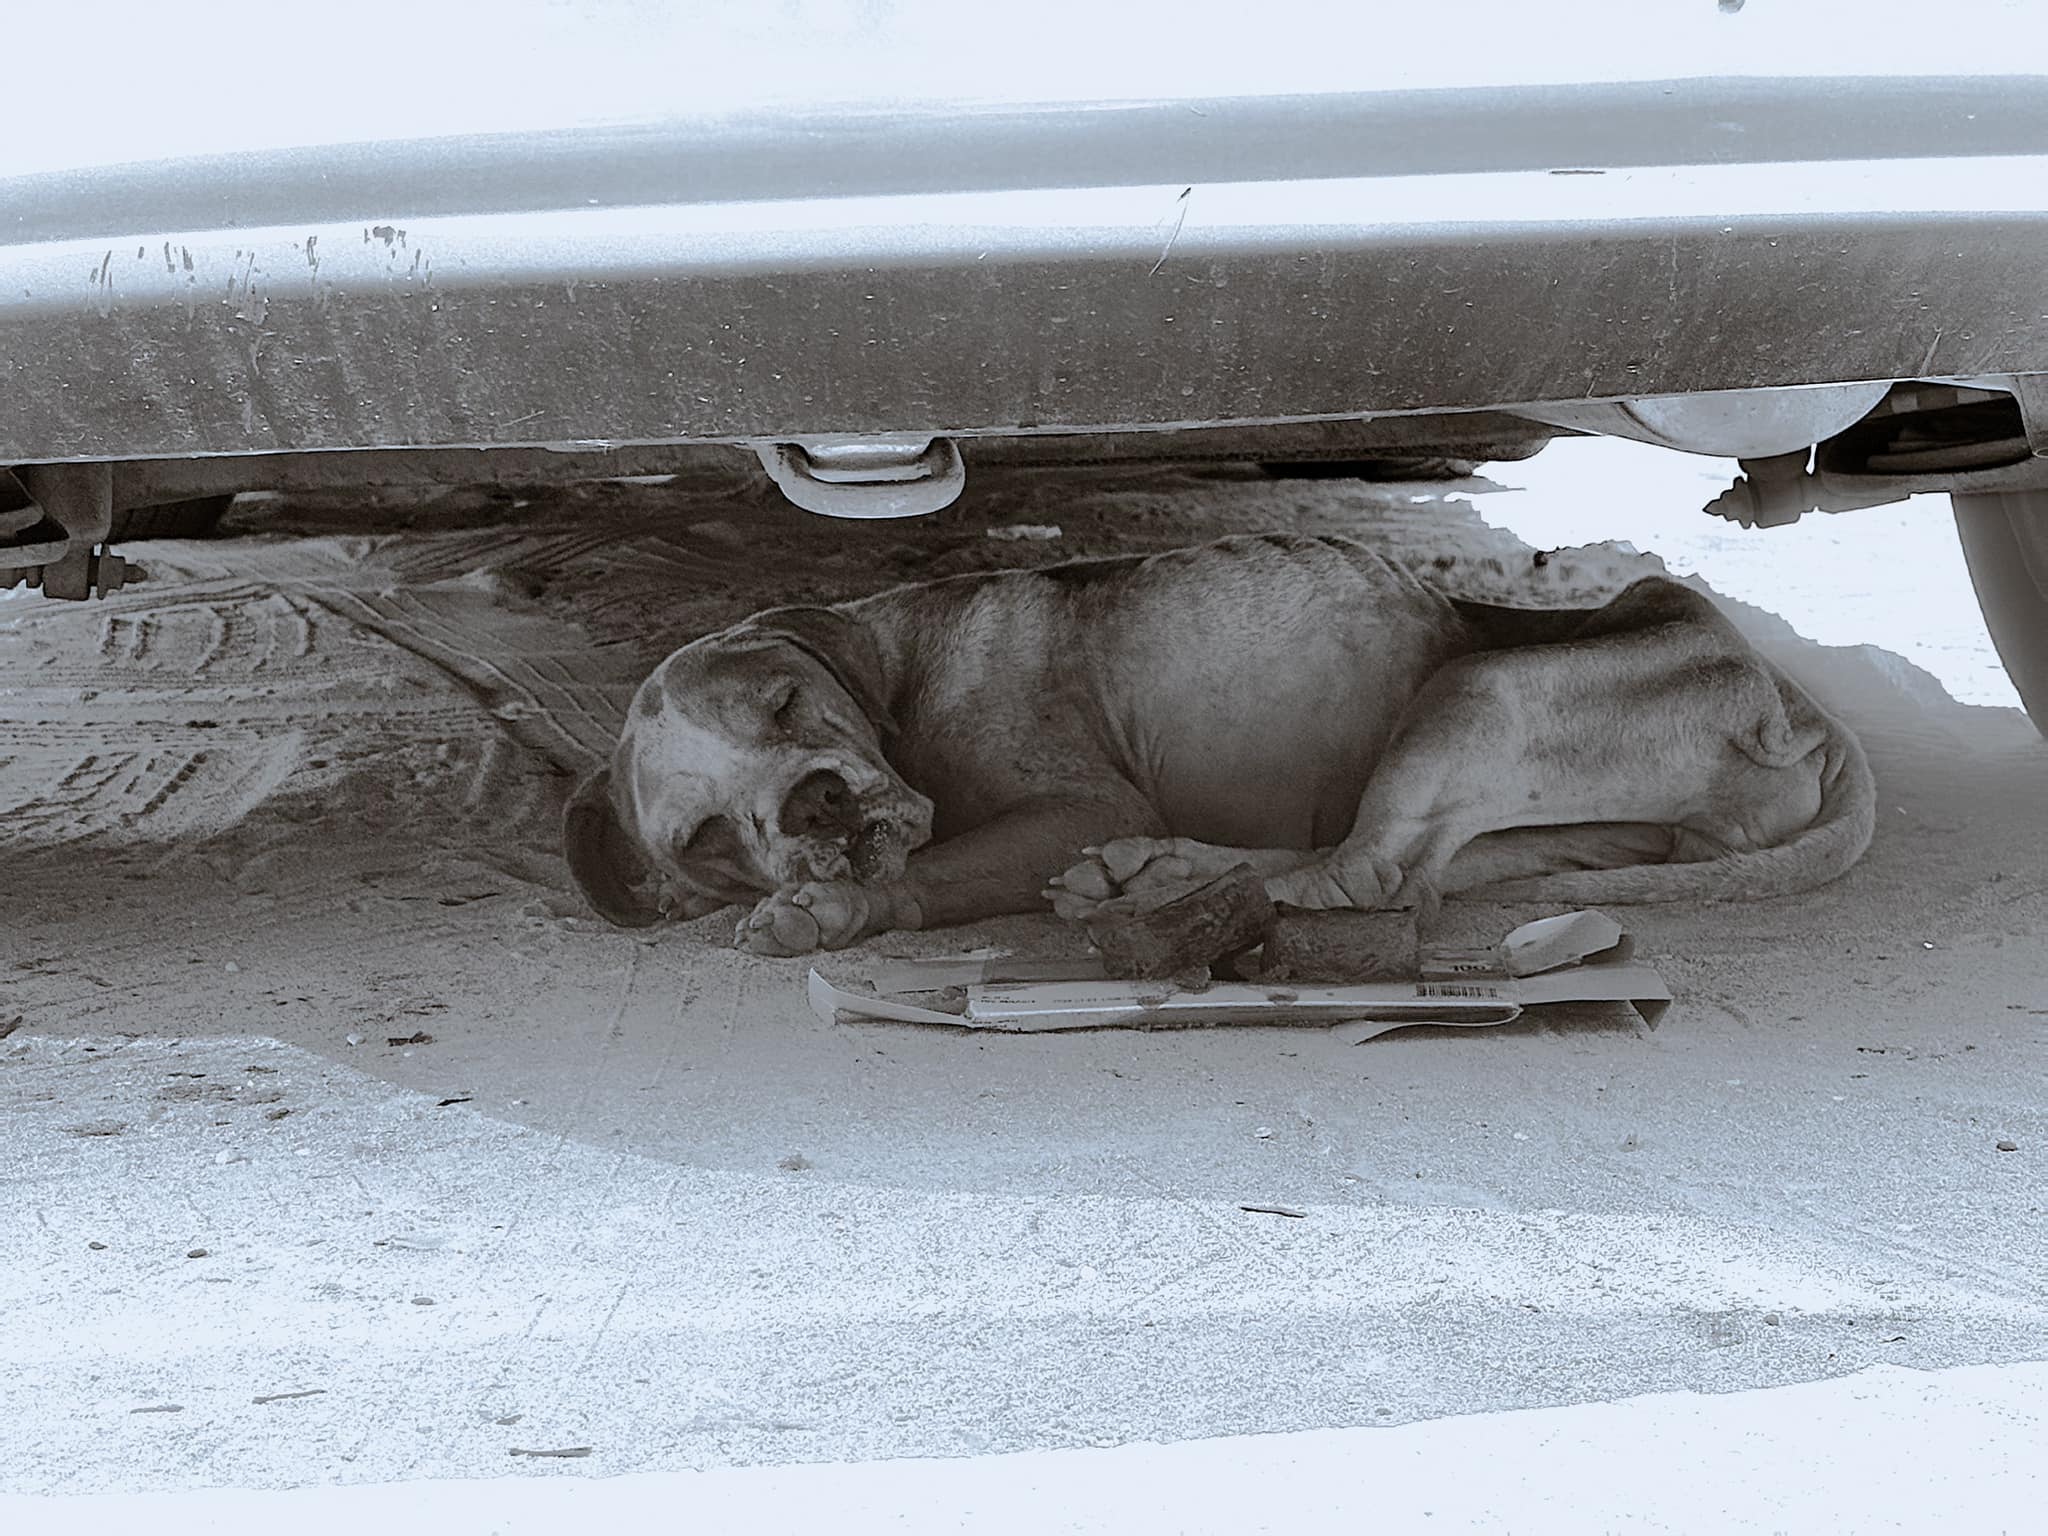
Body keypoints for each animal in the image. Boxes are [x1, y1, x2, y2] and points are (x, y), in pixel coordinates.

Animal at [561, 536, 1875, 958]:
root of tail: (1794, 705)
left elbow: (931, 870)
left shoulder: (1078, 803)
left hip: (1478, 687)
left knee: (1360, 874)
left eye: (786, 706)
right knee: (1395, 873)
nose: (817, 807)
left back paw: (1154, 883)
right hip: (1557, 822)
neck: (896, 673)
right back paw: (1164, 879)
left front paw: (834, 910)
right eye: (705, 838)